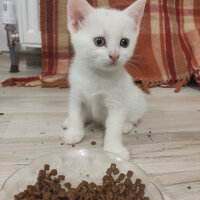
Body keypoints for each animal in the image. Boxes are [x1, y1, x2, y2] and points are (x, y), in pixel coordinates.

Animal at [63, 0, 146, 161]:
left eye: (124, 42)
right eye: (99, 41)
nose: (114, 55)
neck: (97, 75)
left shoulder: (116, 103)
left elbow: (114, 126)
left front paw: (114, 150)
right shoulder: (76, 95)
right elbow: (76, 113)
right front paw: (74, 132)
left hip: (137, 100)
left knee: (134, 116)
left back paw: (126, 125)